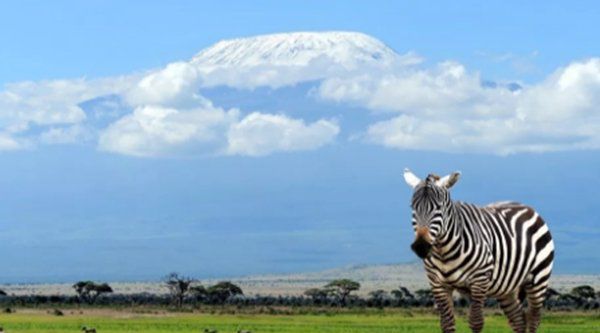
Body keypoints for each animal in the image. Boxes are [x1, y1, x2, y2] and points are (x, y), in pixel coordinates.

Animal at [404, 170, 552, 330]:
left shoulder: (479, 280)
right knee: (518, 320)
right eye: (413, 207)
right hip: (507, 288)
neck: (444, 252)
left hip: (539, 279)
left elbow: (476, 321)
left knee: (533, 319)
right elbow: (447, 323)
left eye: (439, 207)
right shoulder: (437, 284)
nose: (420, 246)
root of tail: (527, 207)